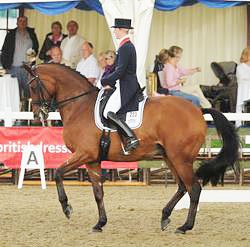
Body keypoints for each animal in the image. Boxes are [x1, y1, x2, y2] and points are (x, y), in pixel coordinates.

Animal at [23, 63, 238, 233]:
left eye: (32, 86)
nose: (37, 115)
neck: (79, 105)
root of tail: (198, 110)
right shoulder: (92, 160)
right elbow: (98, 192)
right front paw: (100, 223)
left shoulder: (84, 154)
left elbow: (59, 173)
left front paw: (67, 208)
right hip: (170, 157)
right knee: (182, 187)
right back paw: (165, 216)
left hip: (180, 158)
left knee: (193, 188)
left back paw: (185, 226)